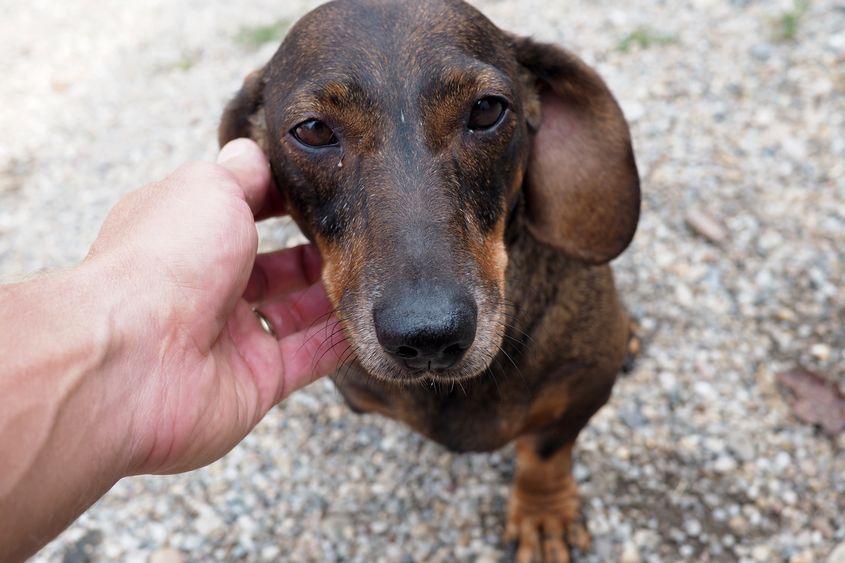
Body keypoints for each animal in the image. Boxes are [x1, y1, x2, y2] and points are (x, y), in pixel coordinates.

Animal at [221, 0, 636, 560]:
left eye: (486, 110)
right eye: (312, 130)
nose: (429, 337)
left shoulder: (586, 385)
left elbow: (545, 451)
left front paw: (542, 513)